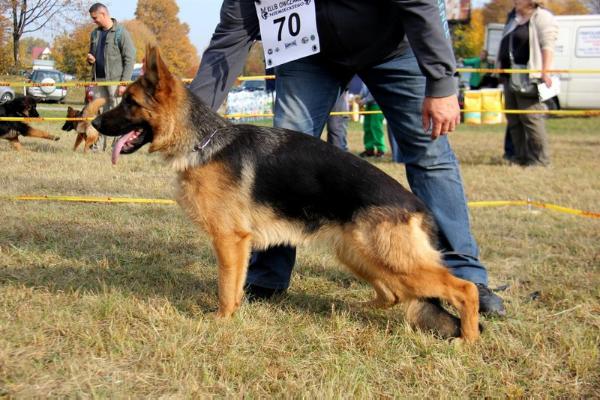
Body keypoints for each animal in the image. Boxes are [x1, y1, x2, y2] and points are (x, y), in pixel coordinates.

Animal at [91, 46, 480, 340]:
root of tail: (417, 206)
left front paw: (221, 321)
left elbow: (226, 287)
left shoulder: (230, 240)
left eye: (129, 102)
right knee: (394, 293)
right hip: (360, 254)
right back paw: (350, 310)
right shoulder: (237, 244)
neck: (203, 142)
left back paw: (469, 341)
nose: (93, 122)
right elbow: (235, 285)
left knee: (464, 289)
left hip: (392, 259)